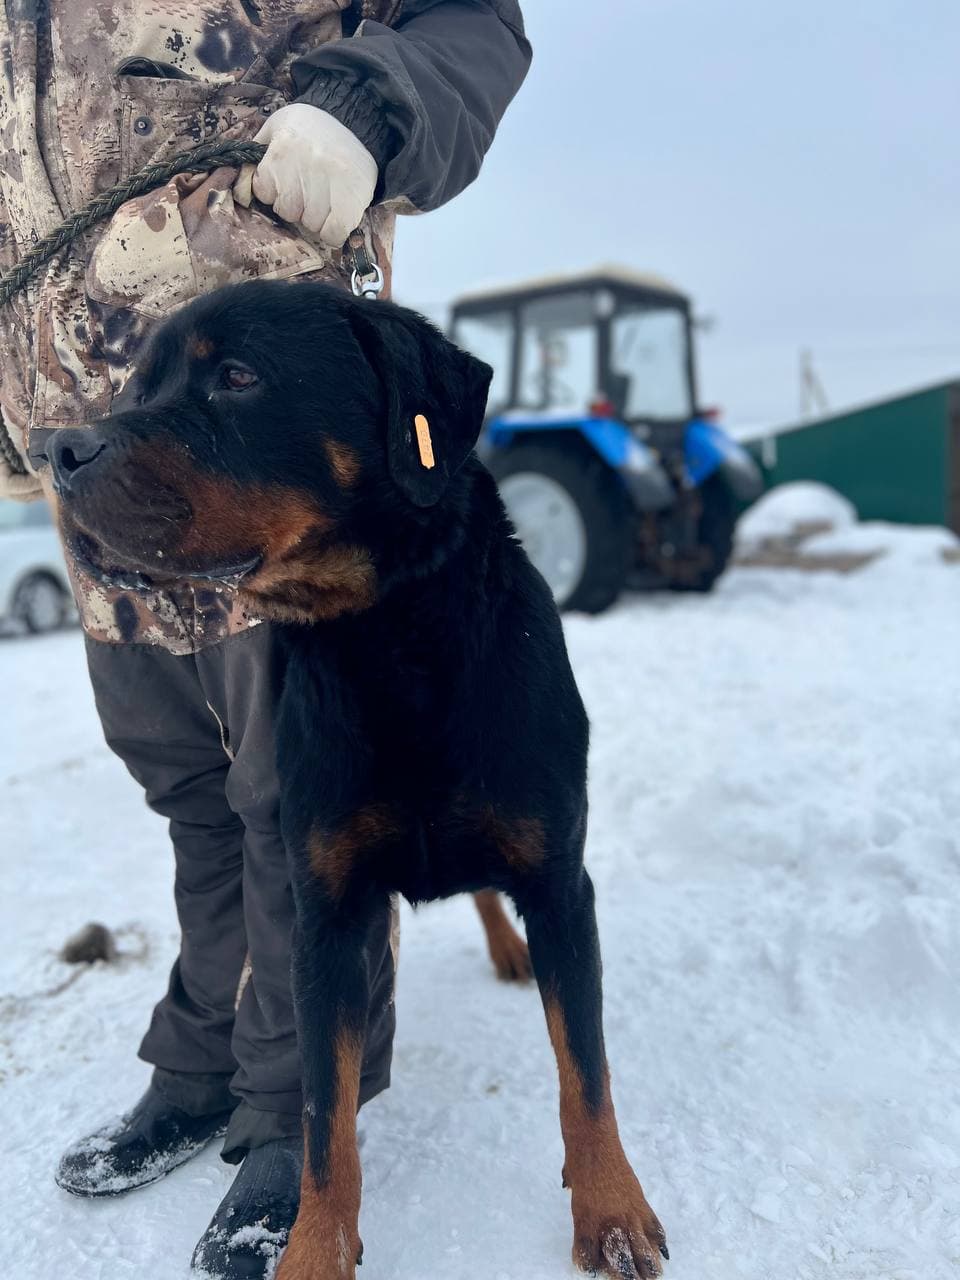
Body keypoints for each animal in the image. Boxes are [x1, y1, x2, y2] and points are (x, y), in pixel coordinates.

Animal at [43, 282, 670, 1280]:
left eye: (238, 375)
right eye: (138, 388)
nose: (58, 452)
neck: (389, 638)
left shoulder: (560, 881)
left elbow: (586, 1072)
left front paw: (611, 1209)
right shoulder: (326, 911)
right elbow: (323, 1119)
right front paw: (309, 1248)